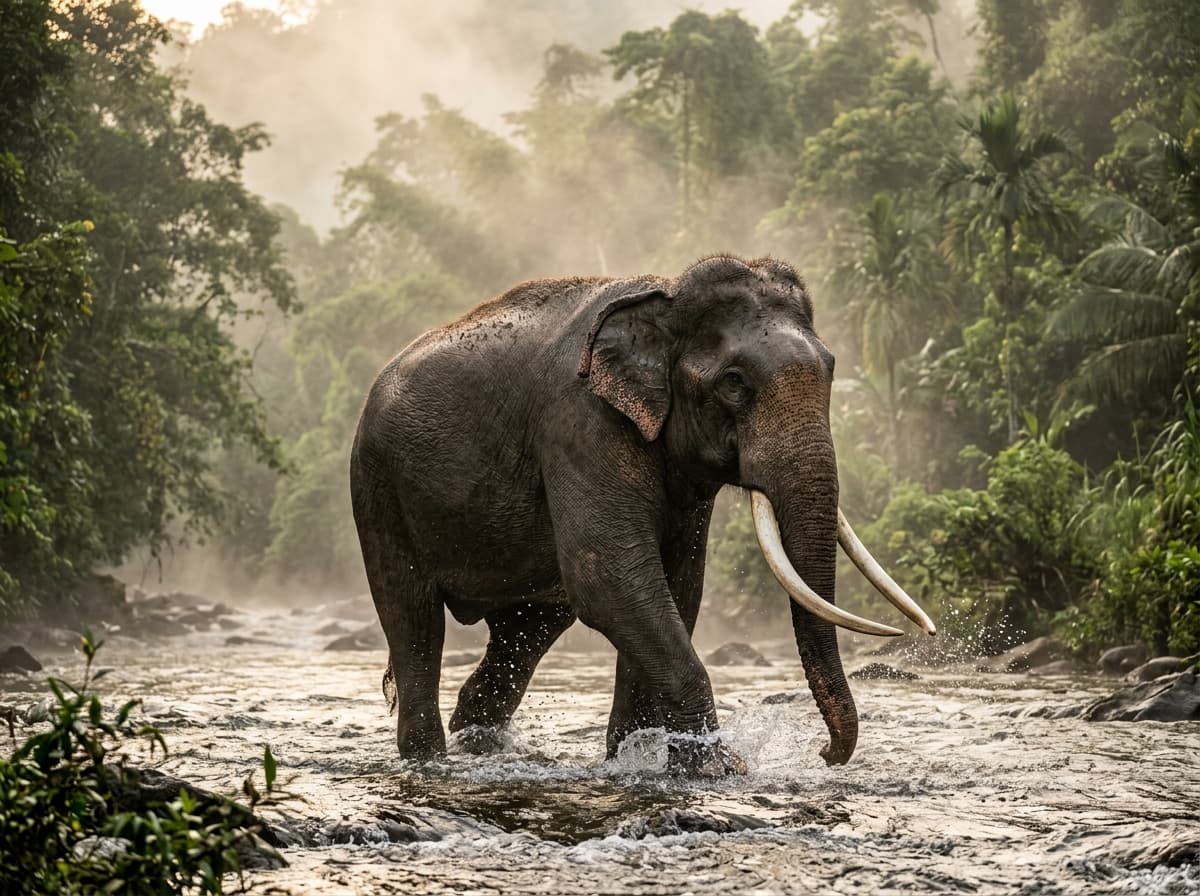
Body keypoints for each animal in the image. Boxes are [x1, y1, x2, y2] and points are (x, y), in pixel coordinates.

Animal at [350, 254, 934, 773]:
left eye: (831, 370)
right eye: (734, 382)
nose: (825, 753)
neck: (666, 298)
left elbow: (674, 588)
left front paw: (634, 759)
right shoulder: (580, 423)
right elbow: (611, 579)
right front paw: (717, 768)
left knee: (528, 630)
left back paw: (482, 747)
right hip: (378, 493)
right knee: (414, 619)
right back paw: (429, 761)